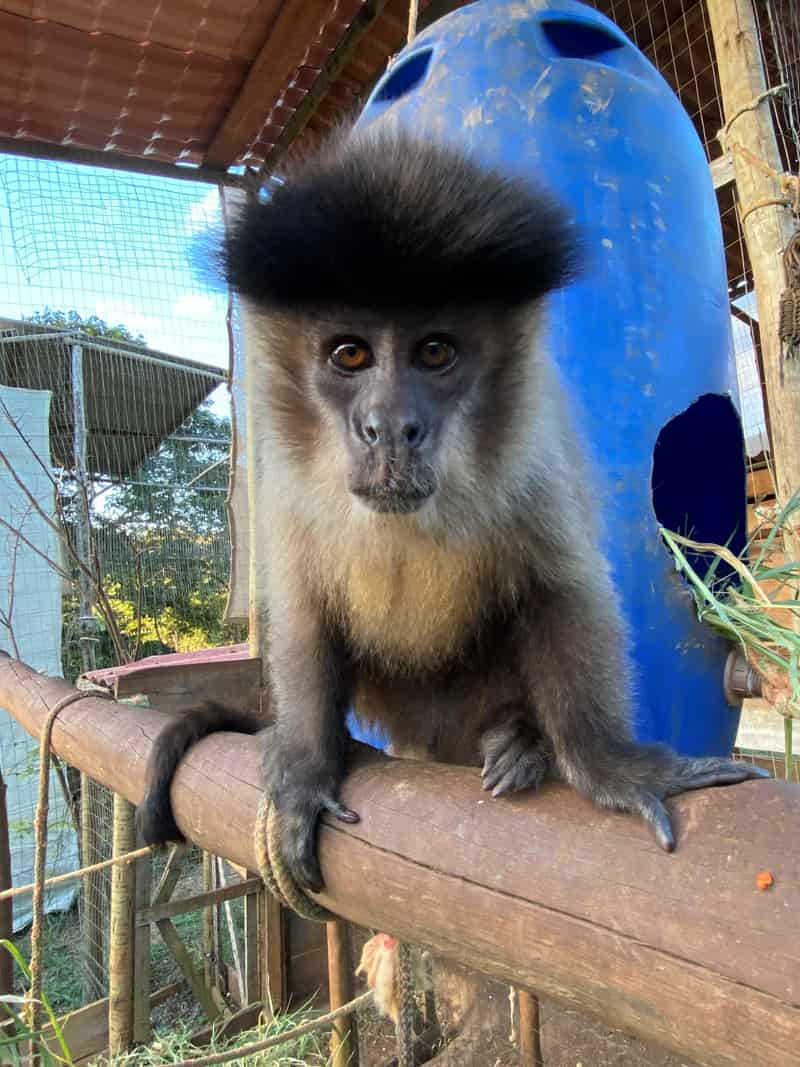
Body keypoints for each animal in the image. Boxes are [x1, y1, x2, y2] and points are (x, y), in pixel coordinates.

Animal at [137, 125, 767, 893]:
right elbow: (306, 608)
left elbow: (561, 589)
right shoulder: (281, 472)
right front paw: (309, 769)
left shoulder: (530, 448)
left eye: (434, 351)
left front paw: (612, 766)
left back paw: (519, 738)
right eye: (350, 354)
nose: (389, 426)